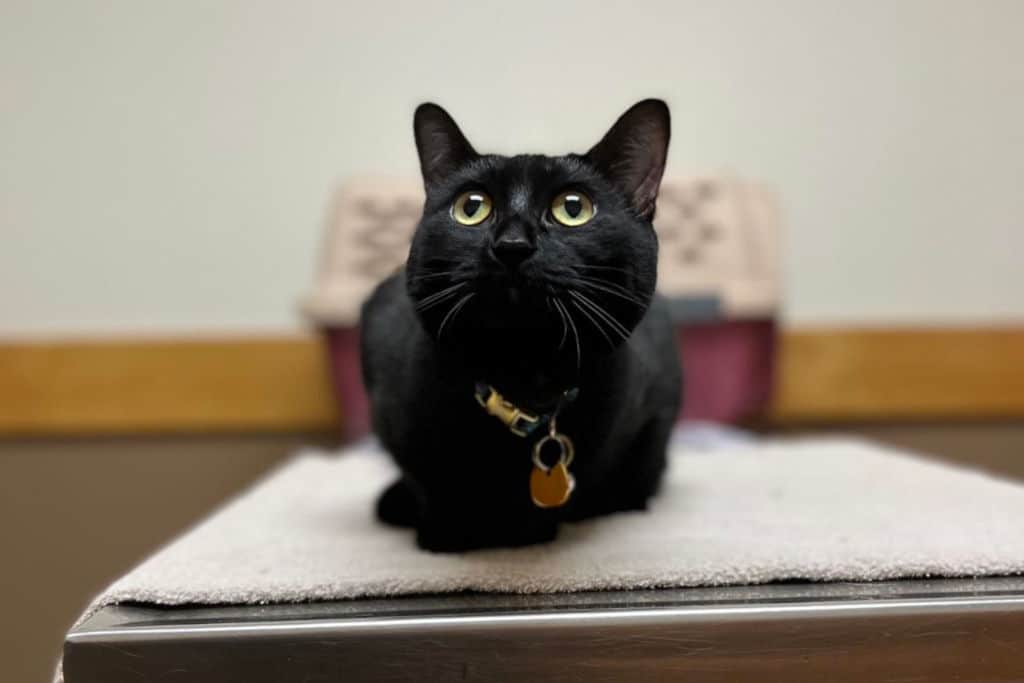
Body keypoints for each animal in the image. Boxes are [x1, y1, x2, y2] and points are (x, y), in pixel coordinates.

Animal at [360, 98, 679, 552]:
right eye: (471, 207)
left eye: (573, 208)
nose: (512, 245)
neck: (523, 376)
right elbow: (428, 479)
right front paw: (445, 532)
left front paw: (528, 532)